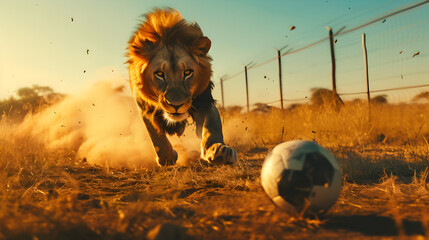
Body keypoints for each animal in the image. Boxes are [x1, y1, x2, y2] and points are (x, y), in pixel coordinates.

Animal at [126, 7, 237, 165]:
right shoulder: (144, 108)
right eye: (159, 74)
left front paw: (219, 151)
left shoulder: (205, 99)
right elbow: (156, 136)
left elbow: (212, 126)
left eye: (187, 72)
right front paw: (167, 157)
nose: (176, 105)